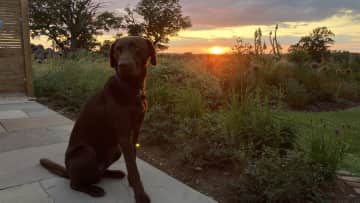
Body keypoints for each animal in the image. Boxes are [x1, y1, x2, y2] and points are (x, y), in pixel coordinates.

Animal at [39, 36, 156, 203]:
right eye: (118, 49)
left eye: (136, 48)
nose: (123, 65)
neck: (131, 88)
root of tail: (68, 172)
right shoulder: (123, 134)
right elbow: (133, 167)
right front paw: (140, 195)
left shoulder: (135, 131)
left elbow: (132, 161)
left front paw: (132, 184)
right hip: (86, 152)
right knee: (75, 184)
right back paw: (93, 190)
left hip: (115, 150)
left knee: (98, 173)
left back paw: (113, 174)